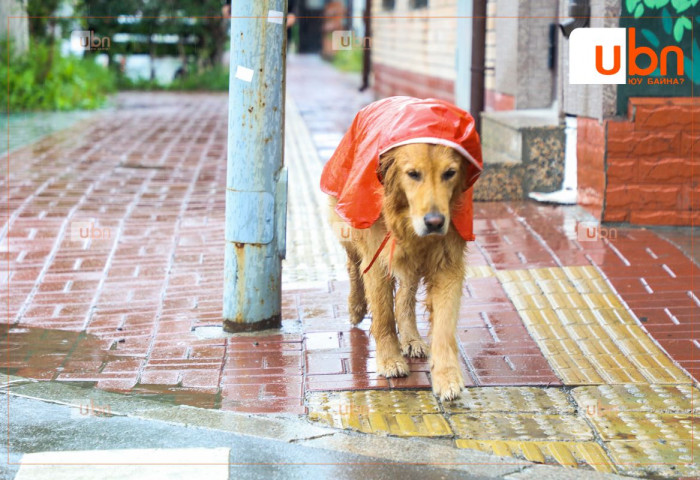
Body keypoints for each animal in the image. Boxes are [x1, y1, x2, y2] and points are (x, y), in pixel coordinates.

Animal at [330, 143, 470, 402]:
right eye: (413, 174)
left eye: (450, 173)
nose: (435, 222)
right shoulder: (377, 255)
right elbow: (383, 315)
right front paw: (390, 360)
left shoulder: (448, 263)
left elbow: (444, 326)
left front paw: (446, 377)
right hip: (349, 227)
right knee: (354, 266)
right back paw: (356, 307)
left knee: (405, 296)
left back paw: (411, 337)